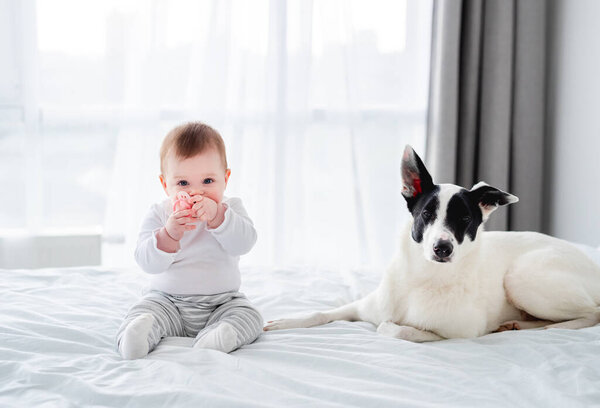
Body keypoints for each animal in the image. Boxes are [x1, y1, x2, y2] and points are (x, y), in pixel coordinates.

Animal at [264, 145, 600, 342]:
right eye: (427, 213)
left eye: (465, 219)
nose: (442, 248)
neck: (422, 277)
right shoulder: (363, 306)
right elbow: (323, 313)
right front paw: (286, 321)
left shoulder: (459, 332)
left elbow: (394, 328)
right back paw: (521, 325)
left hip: (524, 277)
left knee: (592, 312)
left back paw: (551, 327)